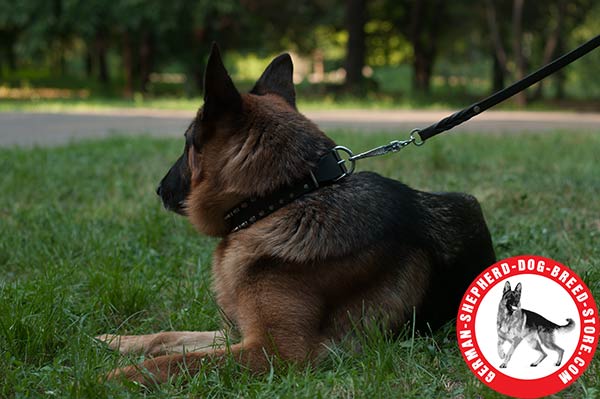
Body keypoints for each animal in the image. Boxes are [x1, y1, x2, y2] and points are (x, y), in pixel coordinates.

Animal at [96, 43, 494, 384]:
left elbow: (174, 362)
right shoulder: (235, 332)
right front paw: (116, 342)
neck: (284, 198)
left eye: (186, 143)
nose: (159, 189)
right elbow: (168, 338)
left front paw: (107, 378)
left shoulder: (275, 350)